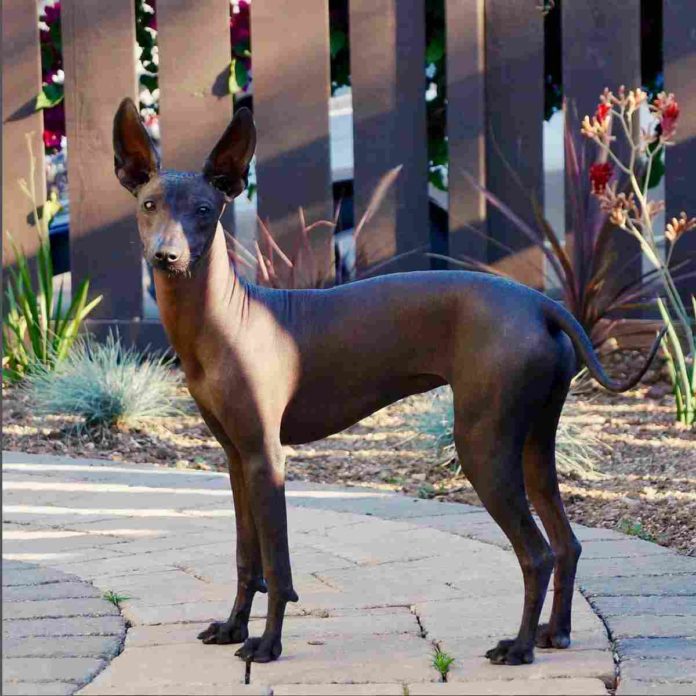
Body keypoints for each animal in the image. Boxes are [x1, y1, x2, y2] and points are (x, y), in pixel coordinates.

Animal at [113, 99, 664, 668]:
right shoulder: (236, 460)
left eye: (204, 210)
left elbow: (278, 568)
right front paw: (232, 627)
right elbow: (248, 558)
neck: (225, 317)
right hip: (534, 442)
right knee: (566, 543)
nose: (166, 256)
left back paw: (520, 647)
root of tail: (541, 303)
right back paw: (556, 633)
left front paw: (267, 643)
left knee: (536, 553)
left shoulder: (267, 459)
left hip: (483, 446)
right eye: (150, 205)